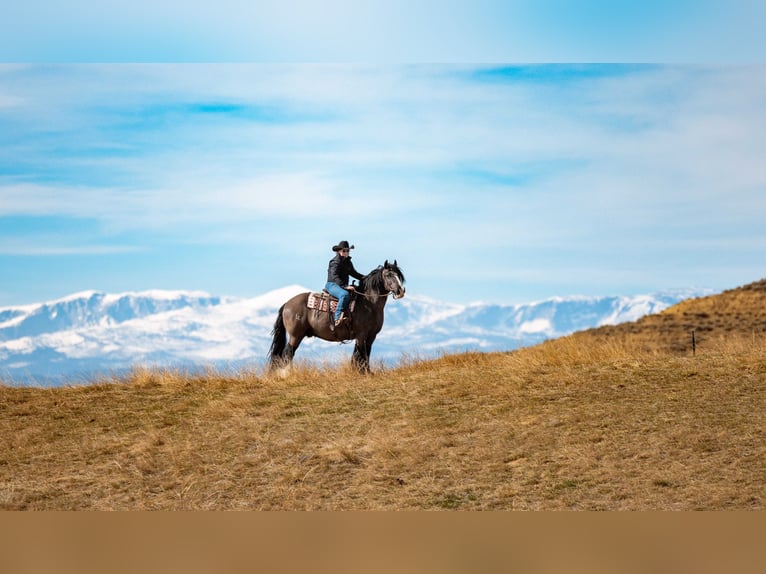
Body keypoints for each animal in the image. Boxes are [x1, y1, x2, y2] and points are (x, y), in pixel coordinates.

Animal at [268, 260, 405, 373]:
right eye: (388, 275)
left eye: (398, 275)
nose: (400, 291)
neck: (368, 302)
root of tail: (287, 304)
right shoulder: (361, 334)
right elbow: (361, 353)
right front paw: (363, 372)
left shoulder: (371, 335)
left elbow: (365, 352)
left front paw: (366, 372)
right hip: (295, 335)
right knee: (288, 354)